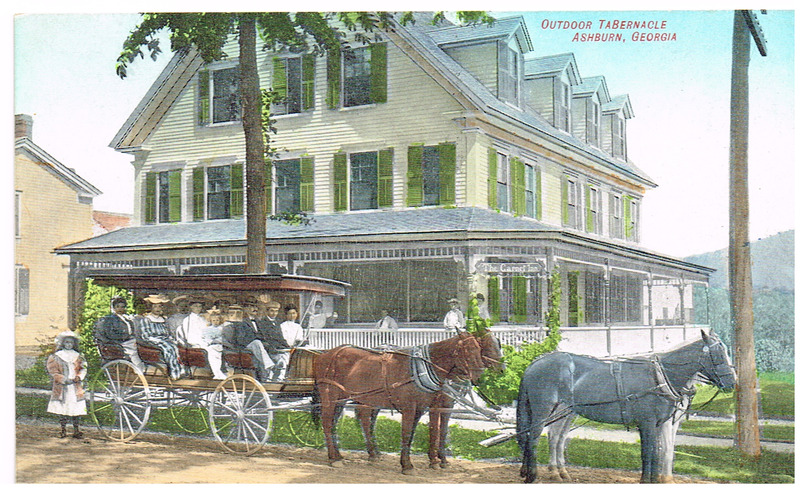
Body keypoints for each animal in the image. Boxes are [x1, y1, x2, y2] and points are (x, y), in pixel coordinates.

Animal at [312, 332, 484, 474]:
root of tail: (326, 354)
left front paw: (431, 461)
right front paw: (407, 465)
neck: (420, 369)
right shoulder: (410, 407)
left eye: (479, 349)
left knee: (337, 424)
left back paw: (340, 455)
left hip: (342, 399)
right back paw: (334, 458)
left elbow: (424, 432)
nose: (479, 377)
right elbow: (406, 433)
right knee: (327, 423)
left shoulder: (424, 407)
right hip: (329, 396)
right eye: (468, 350)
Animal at [516, 330, 736, 484]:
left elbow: (657, 452)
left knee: (552, 438)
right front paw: (646, 480)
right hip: (543, 410)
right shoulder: (647, 423)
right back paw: (532, 475)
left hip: (563, 412)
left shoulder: (657, 424)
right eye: (718, 354)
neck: (659, 377)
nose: (732, 383)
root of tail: (534, 363)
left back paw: (551, 472)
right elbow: (648, 452)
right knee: (534, 438)